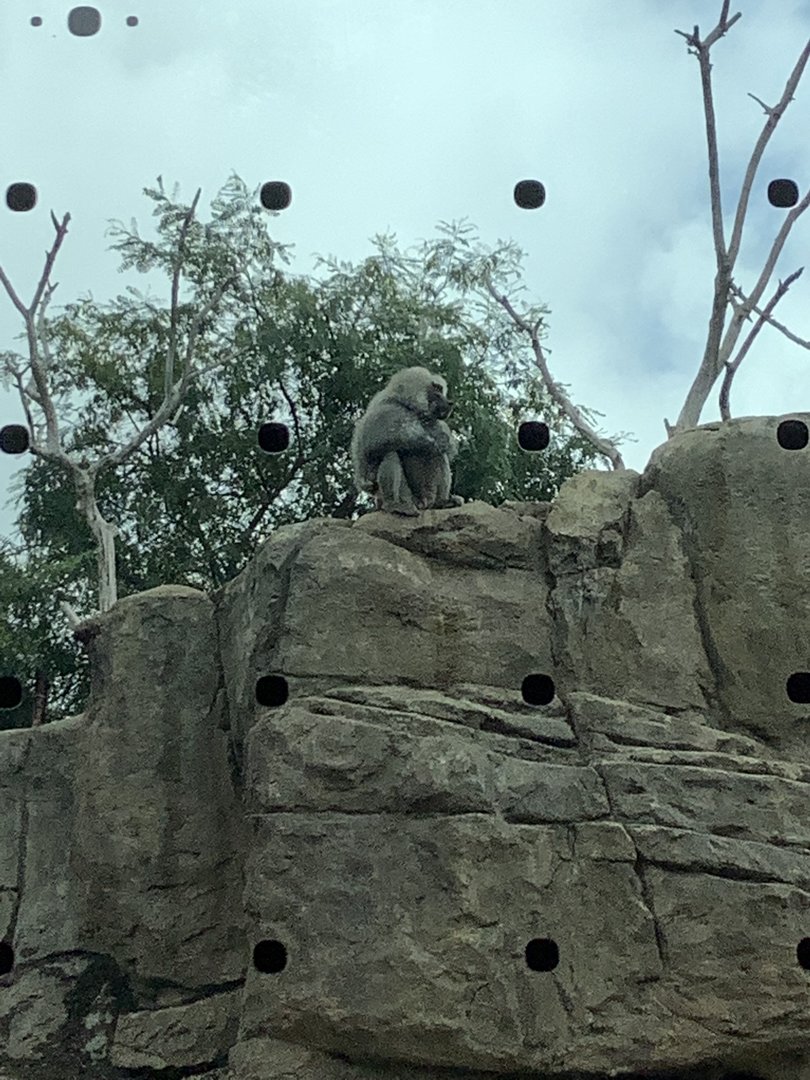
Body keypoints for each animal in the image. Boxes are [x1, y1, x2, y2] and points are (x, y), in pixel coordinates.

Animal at [351, 366, 464, 516]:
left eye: (440, 389)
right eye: (436, 389)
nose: (450, 402)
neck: (406, 404)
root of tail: (422, 503)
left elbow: (444, 445)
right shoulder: (387, 413)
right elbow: (371, 448)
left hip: (426, 494)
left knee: (439, 454)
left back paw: (442, 502)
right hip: (402, 496)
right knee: (391, 454)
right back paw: (394, 505)